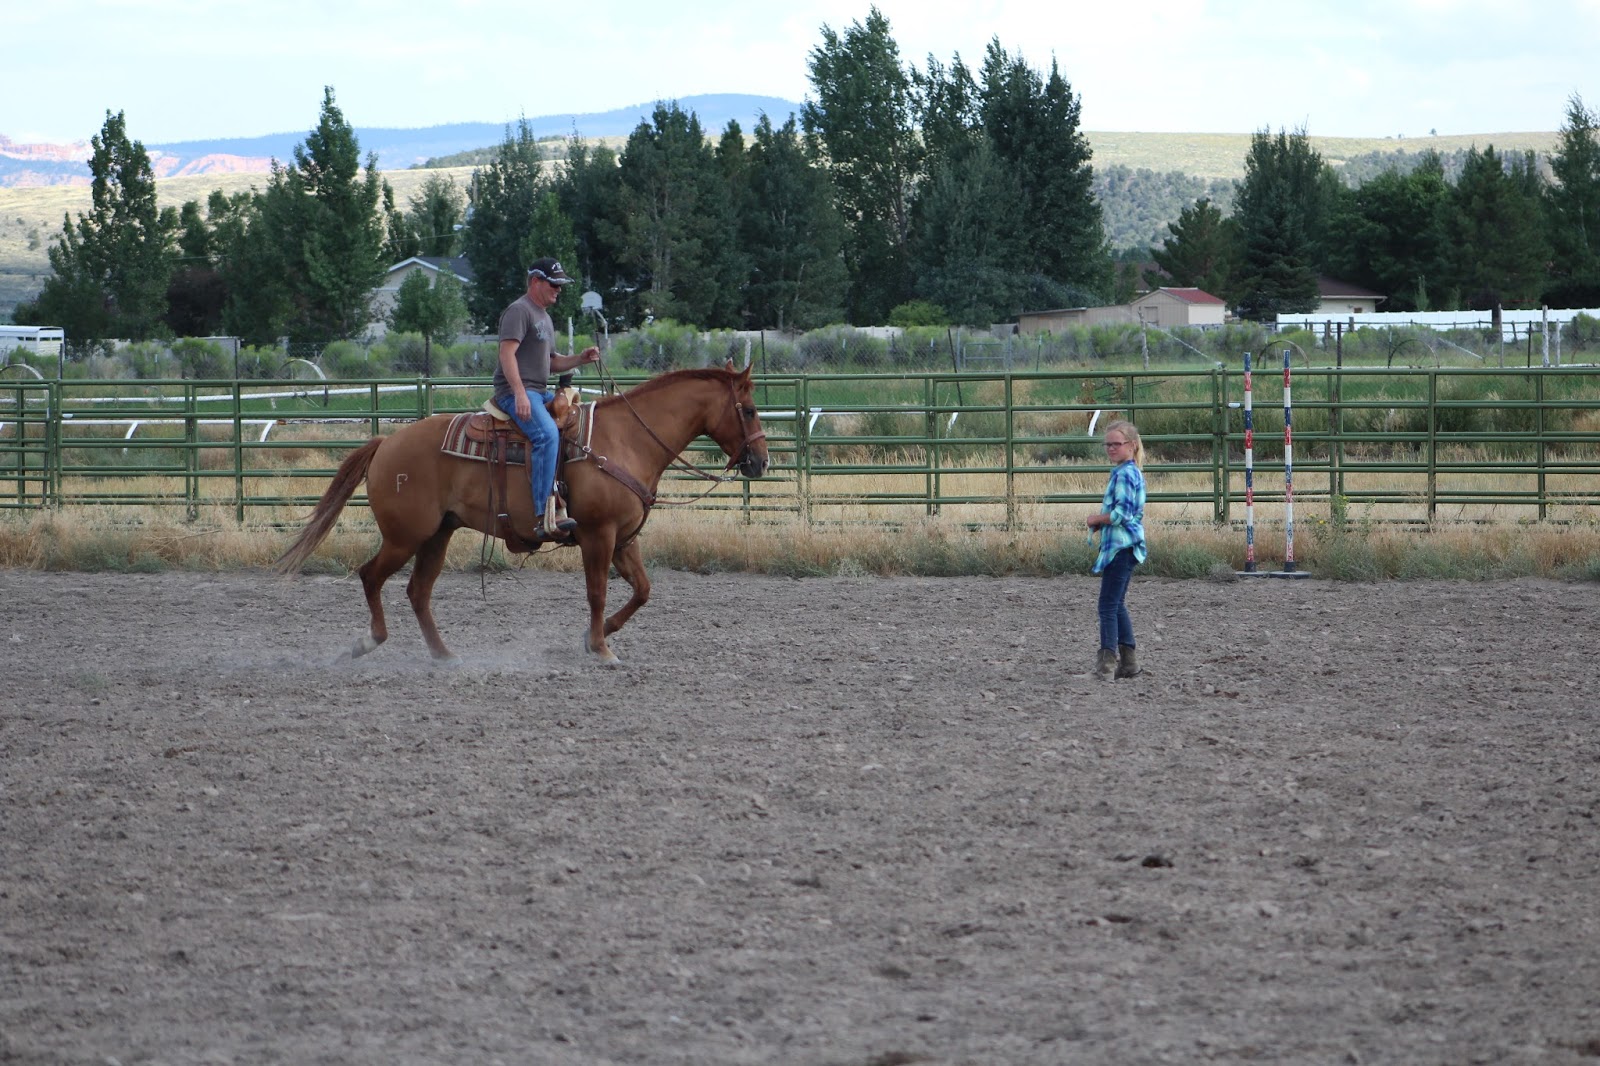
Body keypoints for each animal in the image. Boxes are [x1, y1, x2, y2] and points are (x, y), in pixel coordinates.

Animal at [276, 361, 769, 665]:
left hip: (438, 534)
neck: (626, 439)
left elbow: (643, 591)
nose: (762, 463)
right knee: (371, 576)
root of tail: (386, 443)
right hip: (405, 536)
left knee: (418, 591)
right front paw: (600, 648)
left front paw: (598, 637)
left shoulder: (624, 539)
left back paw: (444, 655)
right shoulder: (598, 535)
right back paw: (369, 641)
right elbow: (597, 592)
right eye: (748, 409)